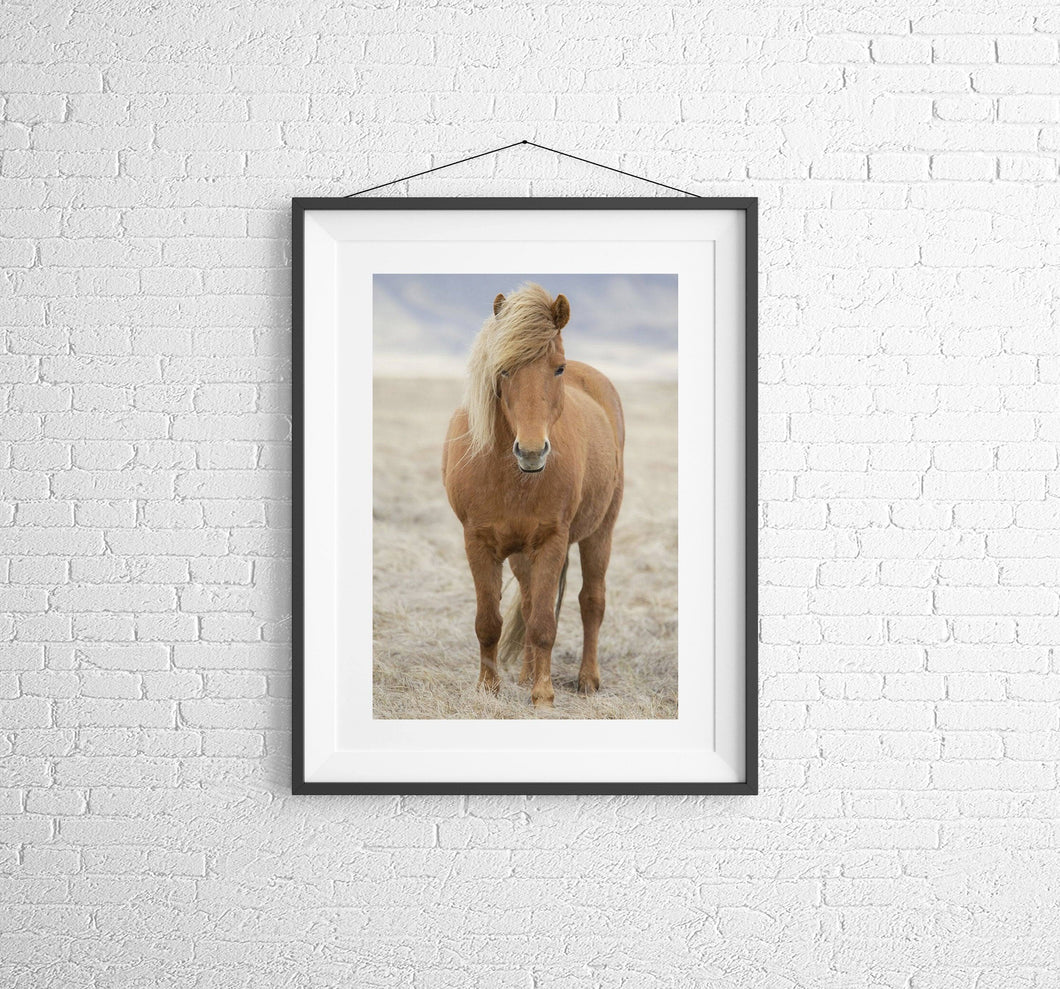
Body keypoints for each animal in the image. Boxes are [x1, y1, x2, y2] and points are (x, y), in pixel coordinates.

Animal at [442, 283, 625, 708]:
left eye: (557, 368)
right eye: (503, 369)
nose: (531, 452)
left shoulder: (552, 541)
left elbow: (544, 623)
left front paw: (543, 694)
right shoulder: (478, 543)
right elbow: (489, 622)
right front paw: (488, 688)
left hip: (599, 532)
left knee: (591, 602)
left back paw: (587, 679)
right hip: (521, 554)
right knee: (527, 602)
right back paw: (525, 675)